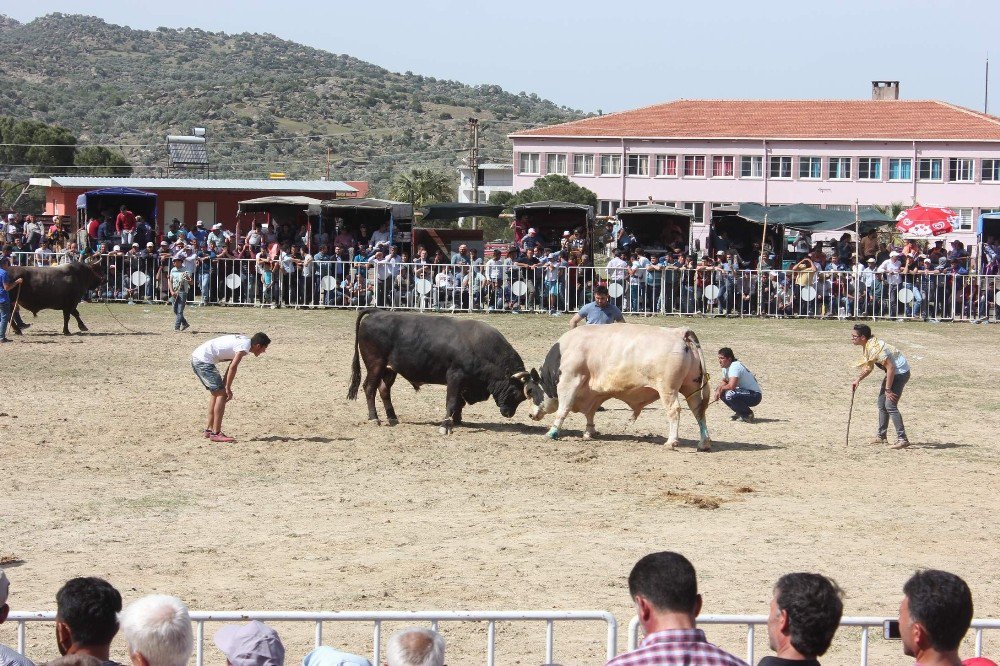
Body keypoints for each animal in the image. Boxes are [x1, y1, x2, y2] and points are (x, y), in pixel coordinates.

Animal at [524, 324, 712, 448]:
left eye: (531, 391)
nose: (530, 415)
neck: (564, 351)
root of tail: (680, 332)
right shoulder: (594, 393)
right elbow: (590, 413)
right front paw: (589, 432)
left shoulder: (569, 381)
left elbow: (563, 409)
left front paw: (552, 432)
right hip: (691, 389)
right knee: (698, 411)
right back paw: (704, 443)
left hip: (668, 389)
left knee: (674, 410)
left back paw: (671, 441)